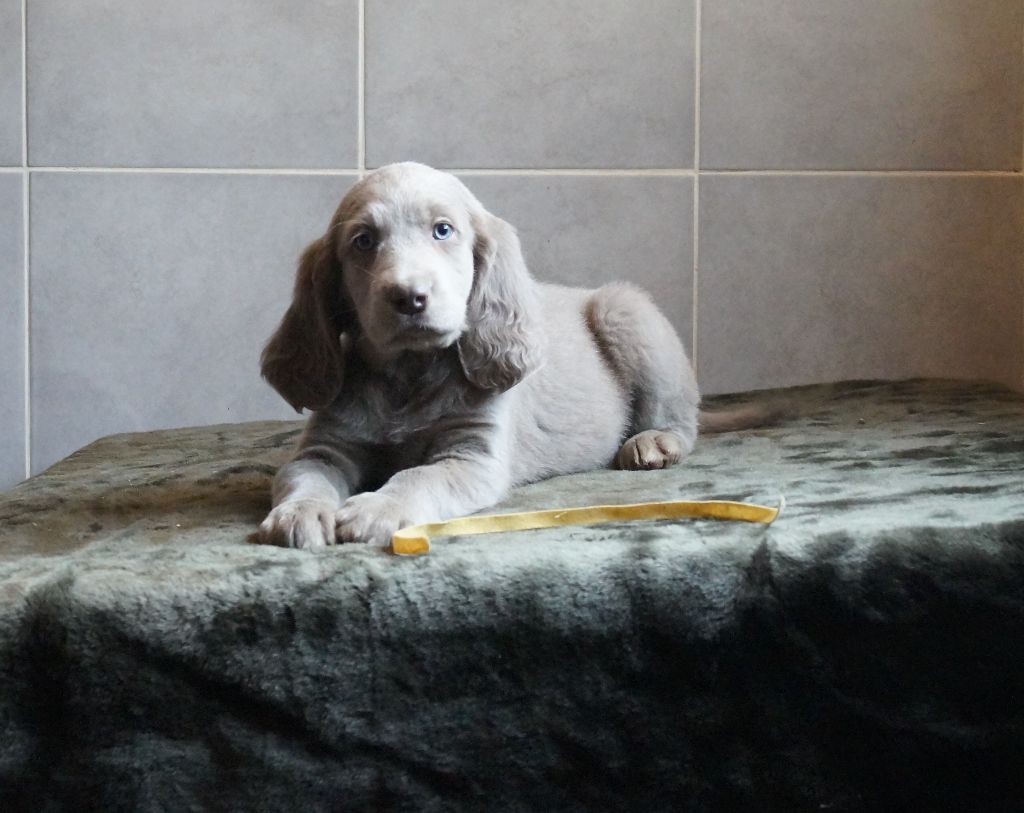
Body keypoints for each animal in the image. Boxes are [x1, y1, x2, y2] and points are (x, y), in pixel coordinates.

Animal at [256, 162, 770, 549]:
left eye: (443, 230)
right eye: (363, 240)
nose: (409, 297)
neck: (409, 374)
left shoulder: (473, 456)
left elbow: (418, 477)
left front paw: (378, 507)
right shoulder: (326, 447)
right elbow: (303, 476)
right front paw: (300, 513)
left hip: (625, 311)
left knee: (682, 419)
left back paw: (653, 442)